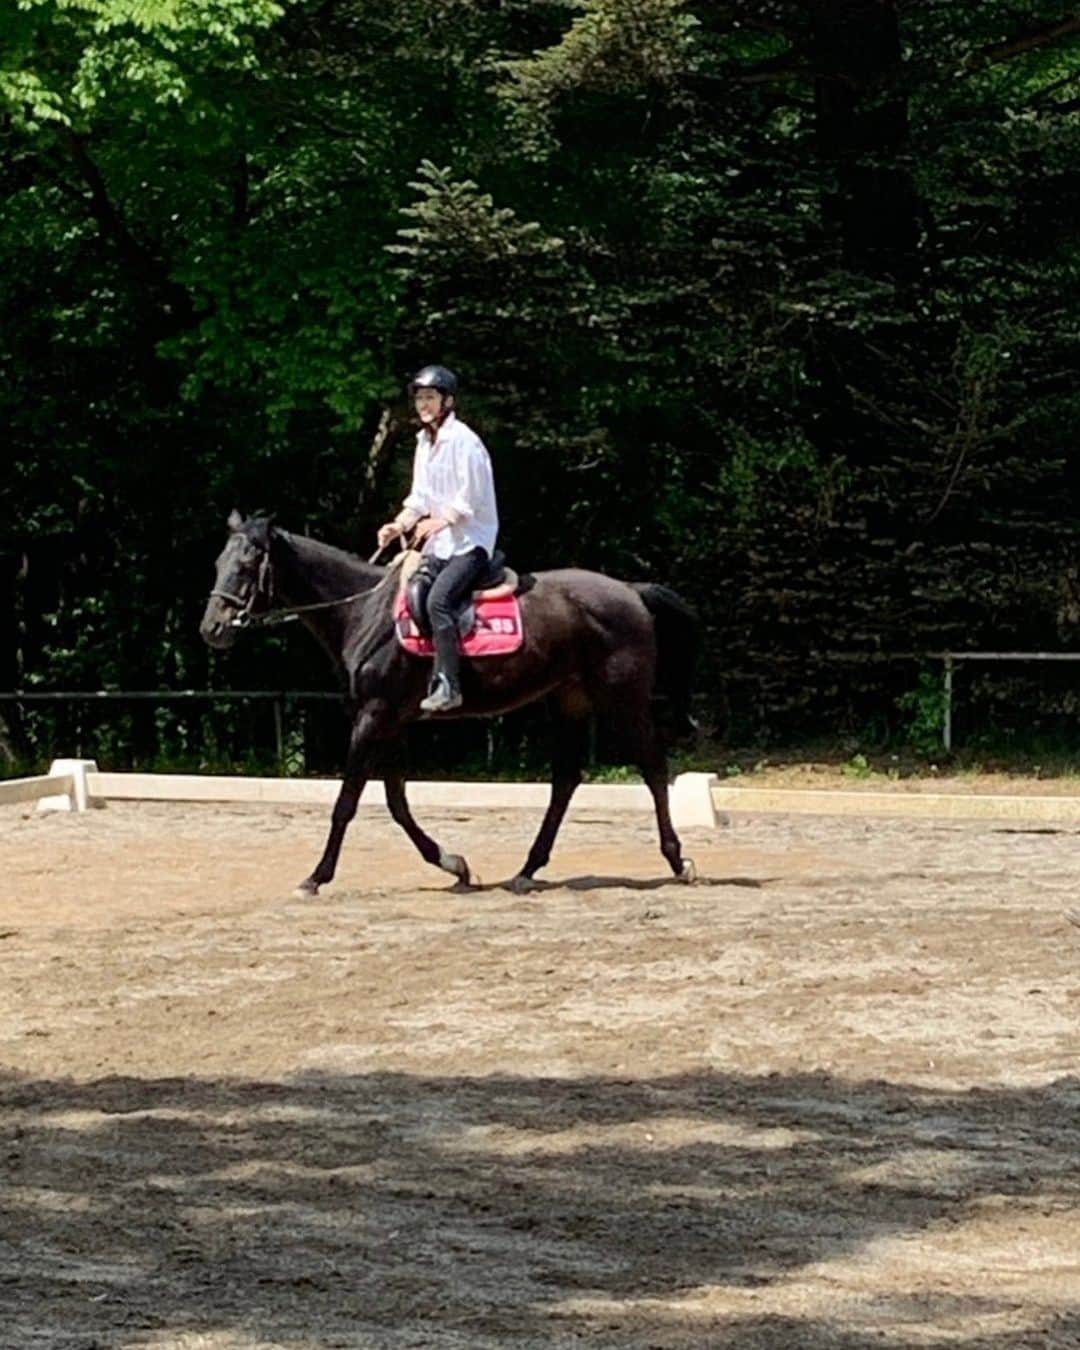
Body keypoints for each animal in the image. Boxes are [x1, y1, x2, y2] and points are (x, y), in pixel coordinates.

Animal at [199, 507, 702, 896]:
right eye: (219, 560)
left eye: (248, 564)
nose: (213, 628)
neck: (363, 613)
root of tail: (631, 590)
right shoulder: (391, 721)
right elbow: (397, 803)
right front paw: (454, 864)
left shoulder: (373, 716)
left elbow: (348, 801)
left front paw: (316, 877)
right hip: (569, 700)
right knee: (565, 781)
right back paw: (526, 870)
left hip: (621, 699)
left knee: (653, 767)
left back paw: (677, 861)